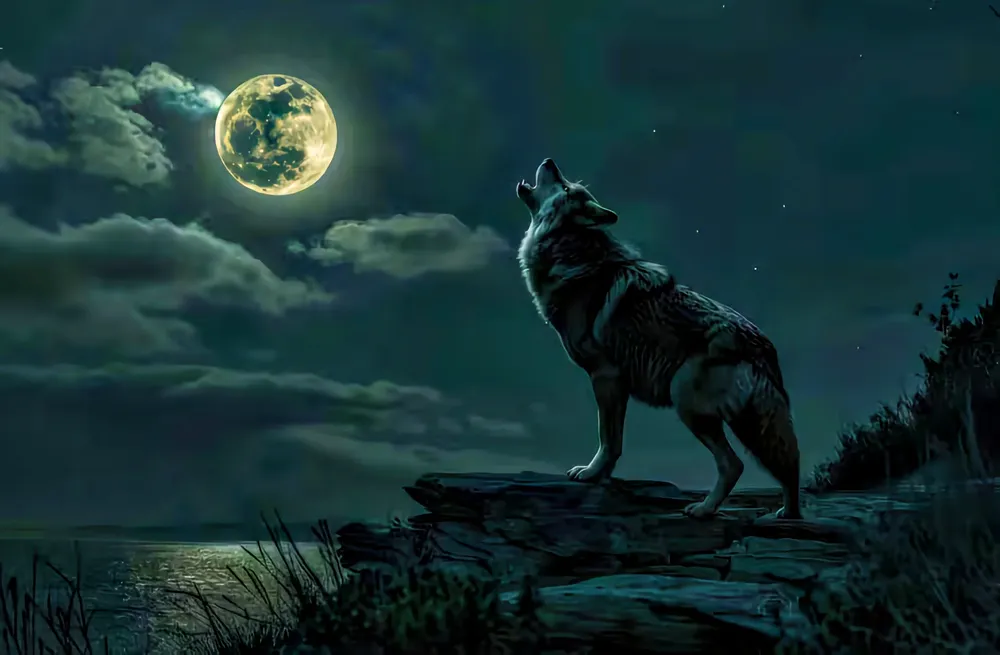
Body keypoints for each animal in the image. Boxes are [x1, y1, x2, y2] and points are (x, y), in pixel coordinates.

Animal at [515, 158, 801, 519]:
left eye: (565, 186)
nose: (550, 161)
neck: (571, 254)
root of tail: (763, 345)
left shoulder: (605, 376)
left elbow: (607, 437)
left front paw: (591, 474)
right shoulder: (617, 384)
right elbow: (616, 440)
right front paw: (602, 476)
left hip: (688, 404)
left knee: (733, 464)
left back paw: (703, 510)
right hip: (746, 422)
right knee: (786, 462)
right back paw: (786, 515)